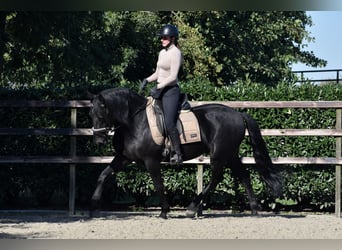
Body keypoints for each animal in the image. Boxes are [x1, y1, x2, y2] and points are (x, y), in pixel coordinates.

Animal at [89, 86, 284, 219]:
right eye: (91, 114)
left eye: (100, 114)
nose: (98, 140)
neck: (135, 121)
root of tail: (238, 114)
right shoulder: (123, 158)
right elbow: (103, 175)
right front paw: (94, 205)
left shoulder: (151, 160)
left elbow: (158, 184)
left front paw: (164, 211)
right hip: (230, 154)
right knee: (243, 176)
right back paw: (254, 209)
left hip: (219, 154)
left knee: (216, 178)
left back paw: (192, 207)